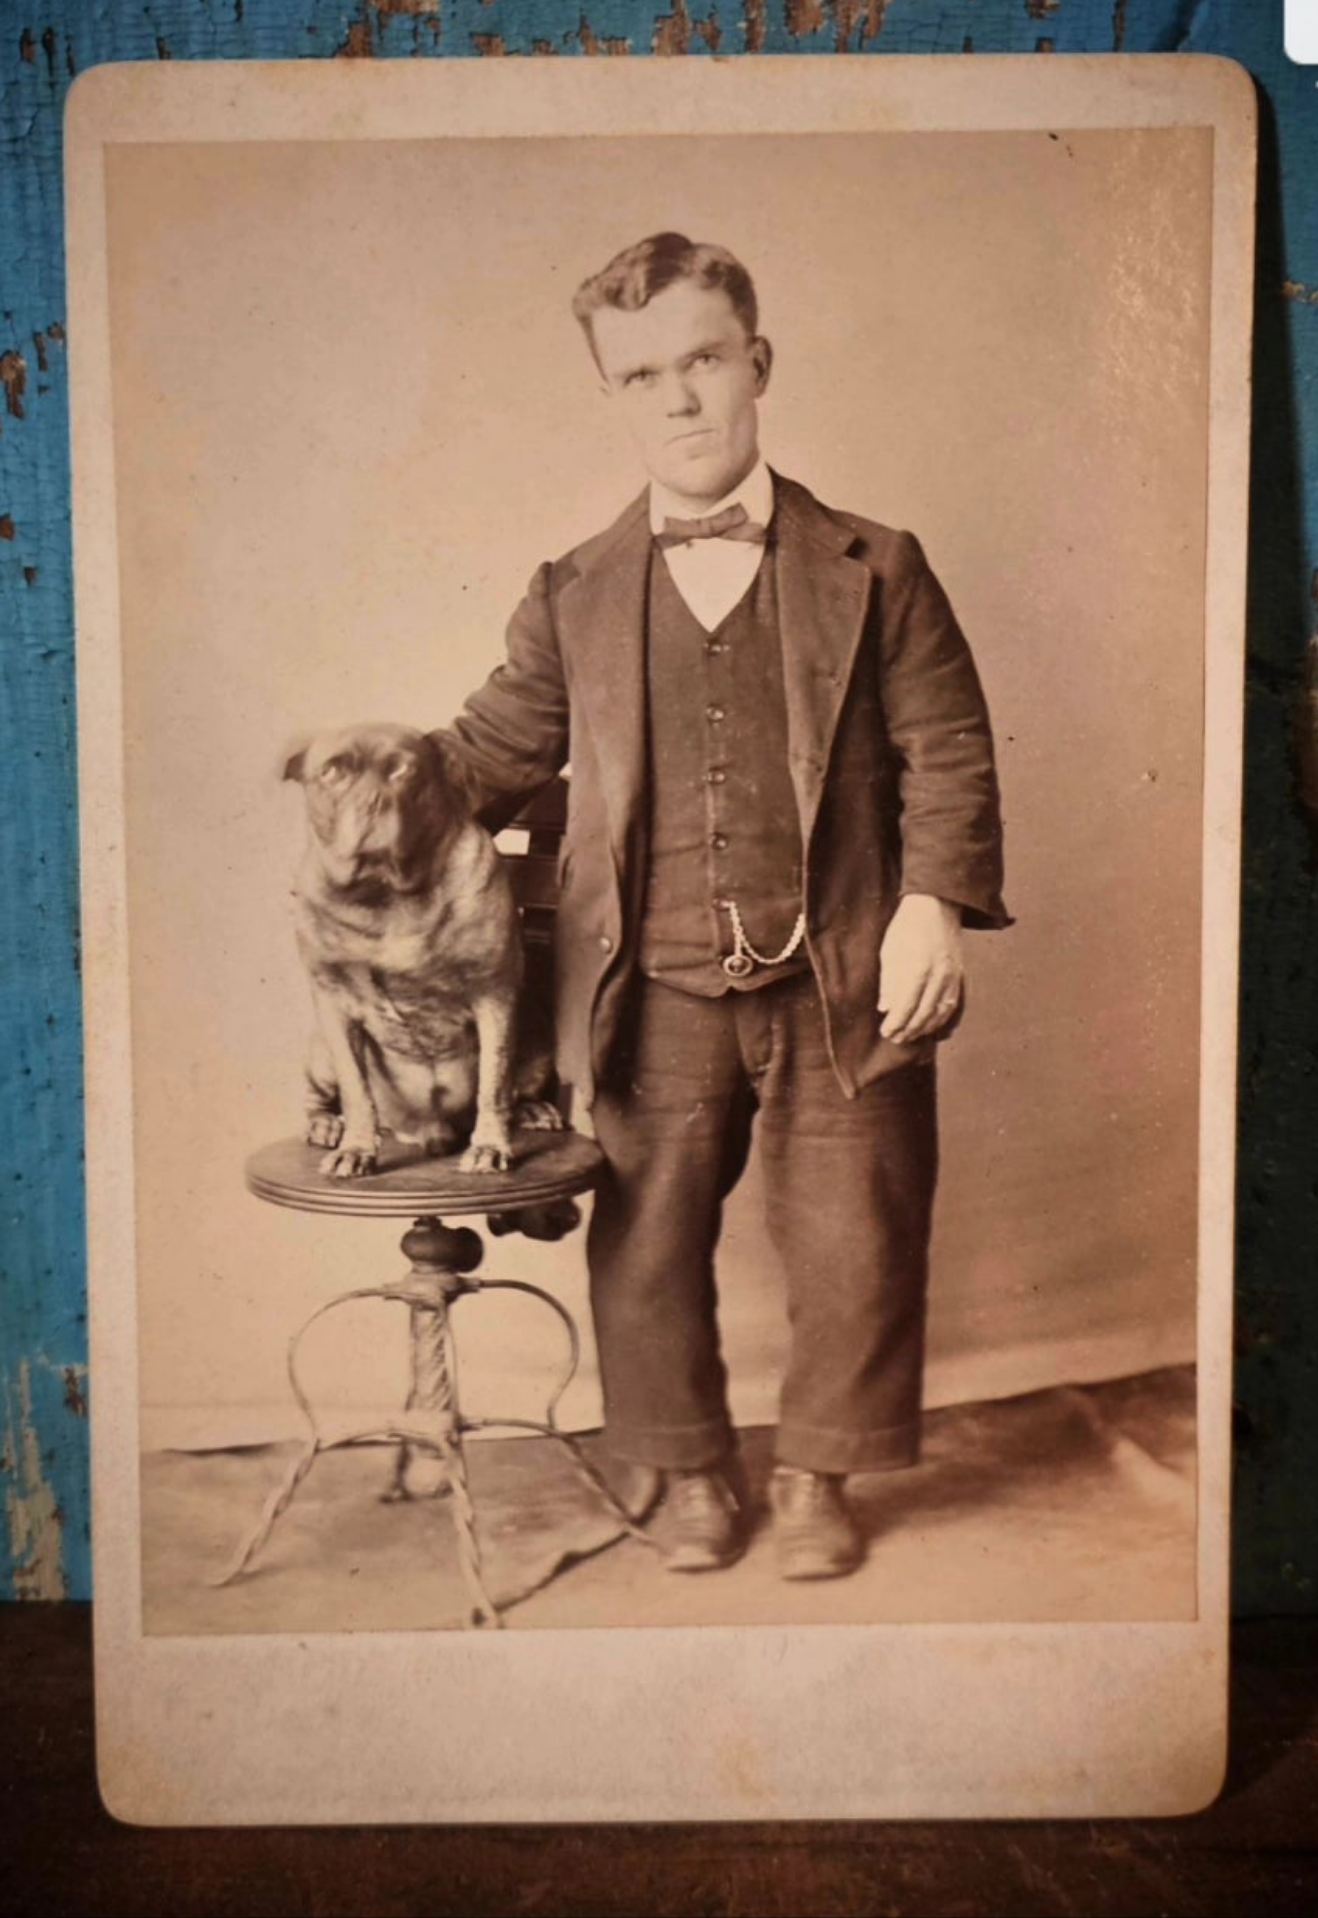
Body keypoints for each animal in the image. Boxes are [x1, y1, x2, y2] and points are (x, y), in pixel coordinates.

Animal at [283, 721, 560, 1166]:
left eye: (403, 771)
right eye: (331, 771)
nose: (374, 801)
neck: (385, 896)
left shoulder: (493, 994)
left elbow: (494, 1082)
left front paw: (489, 1145)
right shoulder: (335, 1006)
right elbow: (356, 1089)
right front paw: (356, 1148)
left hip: (538, 1043)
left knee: (515, 1087)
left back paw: (531, 1110)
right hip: (321, 1049)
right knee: (322, 1096)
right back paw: (326, 1124)